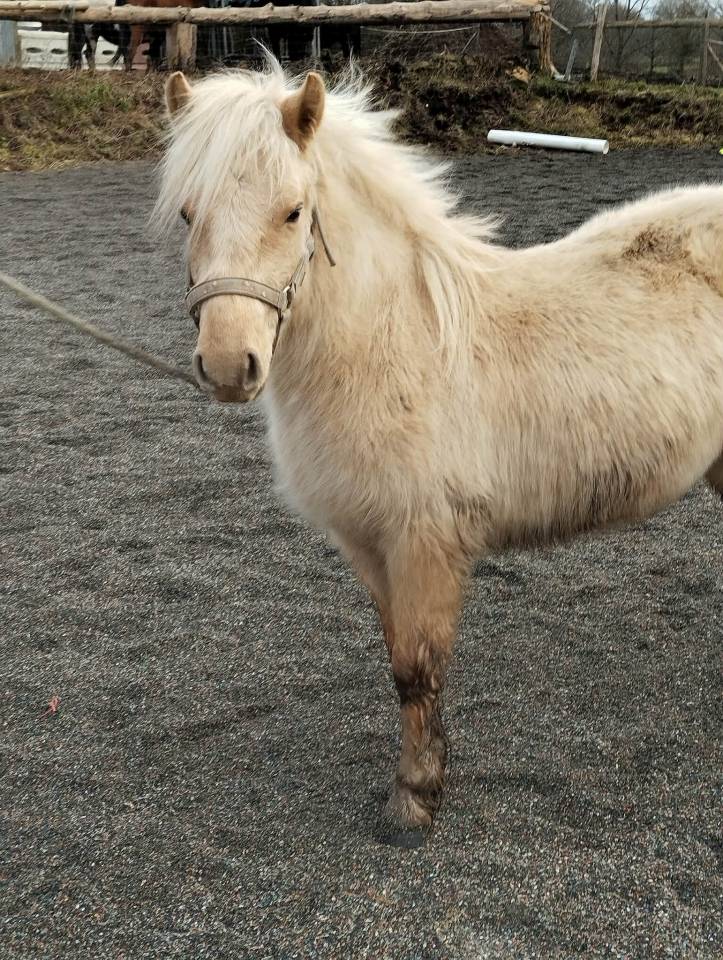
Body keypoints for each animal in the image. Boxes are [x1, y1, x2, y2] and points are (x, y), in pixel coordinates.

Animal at [155, 65, 723, 846]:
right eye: (187, 214)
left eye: (294, 213)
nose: (227, 365)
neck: (394, 343)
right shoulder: (368, 544)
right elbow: (396, 657)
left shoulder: (423, 540)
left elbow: (417, 669)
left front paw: (414, 798)